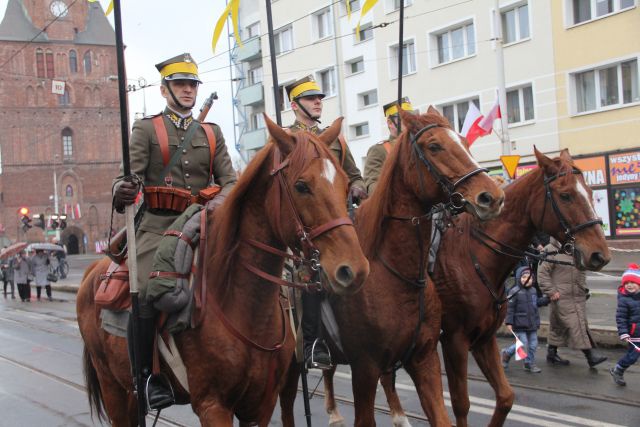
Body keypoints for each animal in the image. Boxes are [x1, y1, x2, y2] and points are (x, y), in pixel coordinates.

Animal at [79, 115, 370, 426]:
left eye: (345, 184)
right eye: (302, 186)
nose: (353, 268)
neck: (241, 301)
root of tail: (92, 272)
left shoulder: (260, 405)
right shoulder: (213, 405)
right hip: (113, 387)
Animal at [280, 108, 504, 427]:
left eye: (463, 140)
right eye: (434, 146)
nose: (491, 197)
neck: (400, 275)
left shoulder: (425, 359)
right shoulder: (365, 368)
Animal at [378, 148, 612, 427]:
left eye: (590, 192)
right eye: (565, 195)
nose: (599, 255)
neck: (473, 255)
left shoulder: (484, 338)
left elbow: (506, 397)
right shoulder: (454, 339)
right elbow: (461, 403)